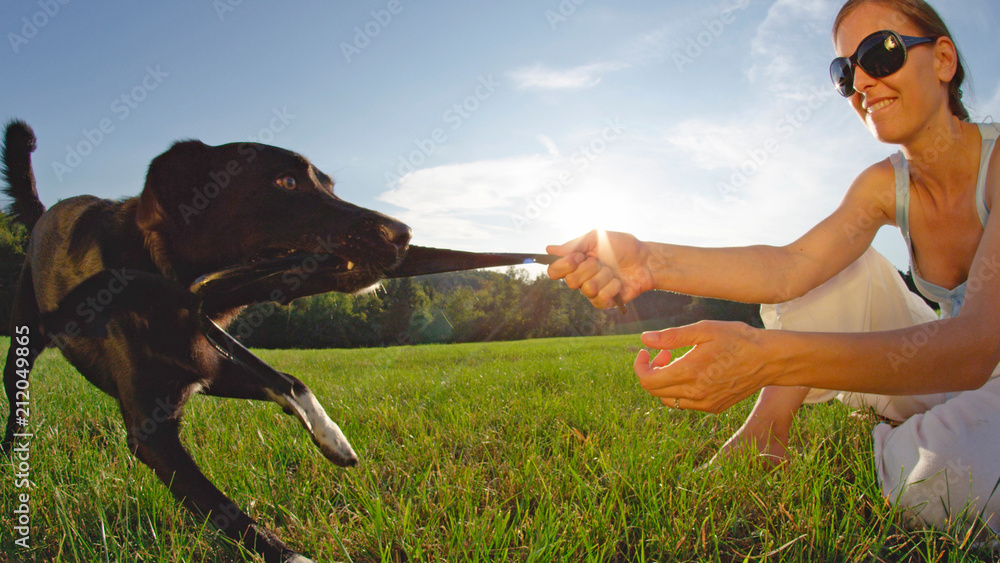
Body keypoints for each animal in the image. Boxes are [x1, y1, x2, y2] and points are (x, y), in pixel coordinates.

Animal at [0, 122, 410, 563]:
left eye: (330, 186)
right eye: (286, 182)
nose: (404, 235)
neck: (171, 285)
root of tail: (43, 215)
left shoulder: (208, 365)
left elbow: (288, 381)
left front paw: (333, 438)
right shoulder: (153, 435)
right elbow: (224, 509)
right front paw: (289, 553)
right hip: (23, 339)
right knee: (15, 399)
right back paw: (10, 456)